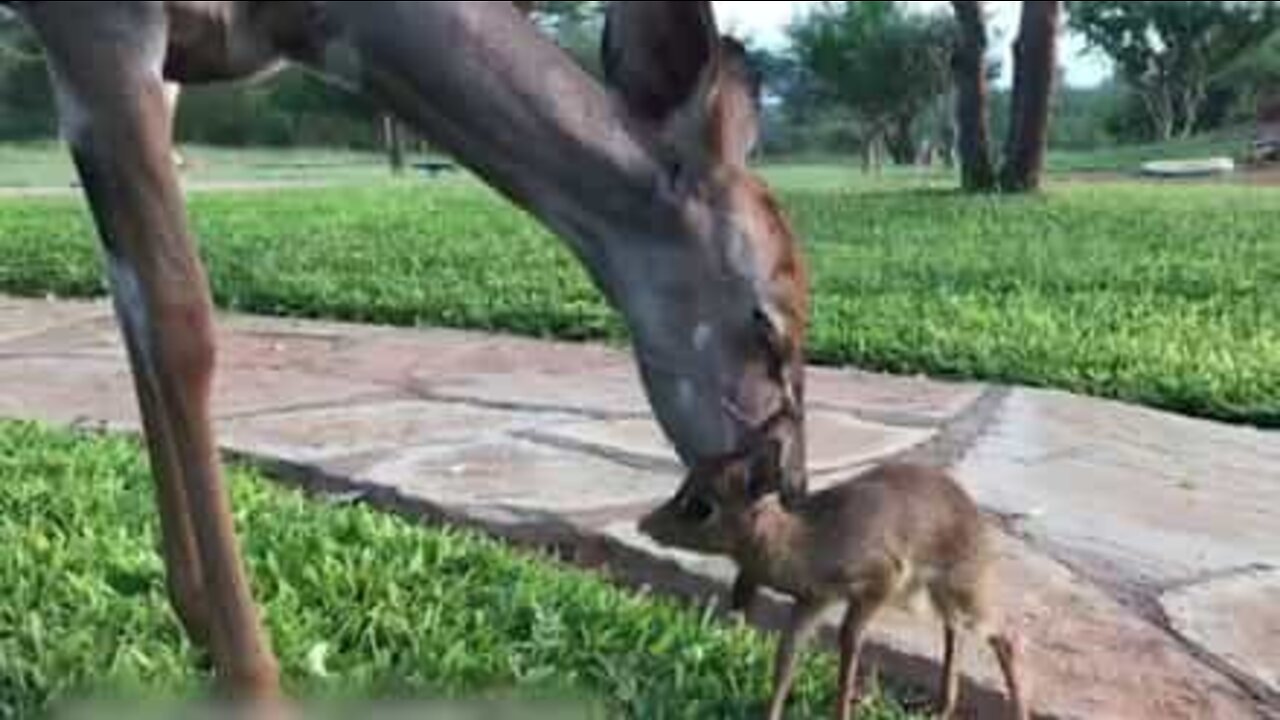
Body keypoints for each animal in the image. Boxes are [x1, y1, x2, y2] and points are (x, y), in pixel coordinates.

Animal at [2, 0, 808, 702]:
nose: (789, 482)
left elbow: (135, 313)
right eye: (768, 325)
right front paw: (253, 682)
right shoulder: (102, 26)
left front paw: (196, 619)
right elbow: (181, 325)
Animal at [640, 445, 1029, 712]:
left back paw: (1017, 711)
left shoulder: (879, 581)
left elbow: (848, 643)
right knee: (956, 632)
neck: (806, 543)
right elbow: (785, 660)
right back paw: (942, 707)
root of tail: (975, 514)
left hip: (964, 588)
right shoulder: (812, 601)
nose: (644, 523)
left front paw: (841, 711)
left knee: (1005, 636)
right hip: (940, 596)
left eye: (701, 507)